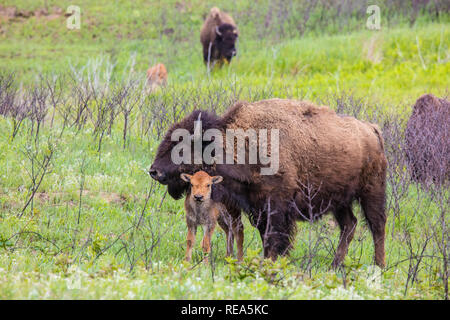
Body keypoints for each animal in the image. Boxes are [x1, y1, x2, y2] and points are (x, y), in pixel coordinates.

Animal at [149, 99, 388, 268]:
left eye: (181, 146)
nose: (154, 171)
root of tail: (372, 129)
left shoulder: (276, 208)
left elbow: (274, 238)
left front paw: (270, 263)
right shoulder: (258, 208)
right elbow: (264, 236)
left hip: (371, 192)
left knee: (377, 226)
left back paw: (379, 266)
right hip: (340, 201)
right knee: (350, 224)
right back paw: (335, 265)